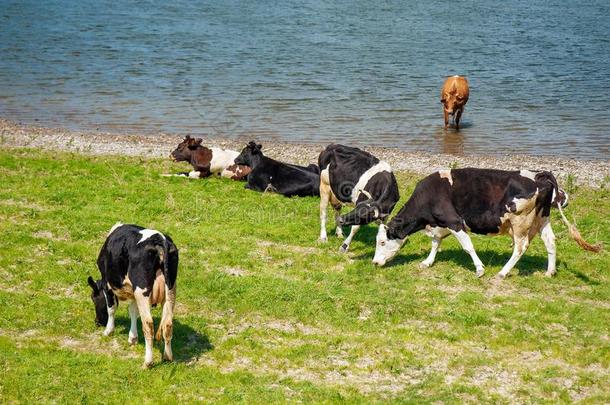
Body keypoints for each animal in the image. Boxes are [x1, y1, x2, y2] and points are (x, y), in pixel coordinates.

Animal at [87, 223, 178, 368]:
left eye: (93, 298)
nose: (97, 322)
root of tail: (159, 239)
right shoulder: (133, 292)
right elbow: (133, 311)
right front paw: (133, 337)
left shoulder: (107, 283)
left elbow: (111, 308)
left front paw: (108, 331)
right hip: (170, 289)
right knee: (168, 324)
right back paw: (168, 357)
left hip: (142, 290)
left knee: (148, 325)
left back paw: (148, 362)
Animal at [370, 167, 600, 278]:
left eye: (382, 242)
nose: (374, 263)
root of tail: (539, 174)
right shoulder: (440, 224)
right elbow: (436, 242)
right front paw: (428, 262)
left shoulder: (454, 221)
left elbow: (467, 246)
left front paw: (479, 269)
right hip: (542, 218)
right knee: (550, 241)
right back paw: (549, 272)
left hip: (520, 222)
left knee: (521, 247)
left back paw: (503, 272)